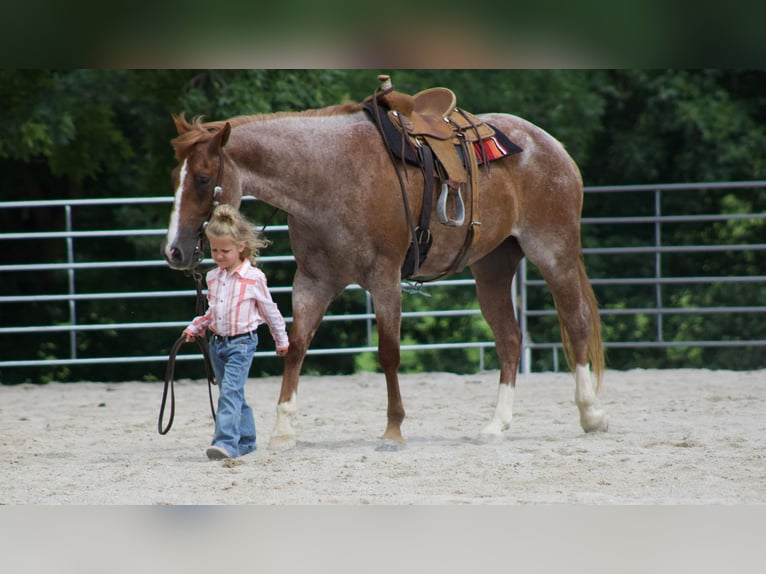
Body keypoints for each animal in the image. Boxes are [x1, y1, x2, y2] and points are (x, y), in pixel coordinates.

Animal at [162, 87, 608, 451]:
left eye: (203, 178)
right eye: (175, 177)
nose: (175, 251)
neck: (331, 175)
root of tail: (550, 146)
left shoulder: (385, 280)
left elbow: (389, 354)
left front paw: (393, 430)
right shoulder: (313, 282)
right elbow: (296, 346)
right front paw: (284, 430)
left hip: (554, 254)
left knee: (577, 323)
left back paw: (590, 414)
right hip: (493, 269)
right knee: (510, 341)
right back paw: (497, 425)